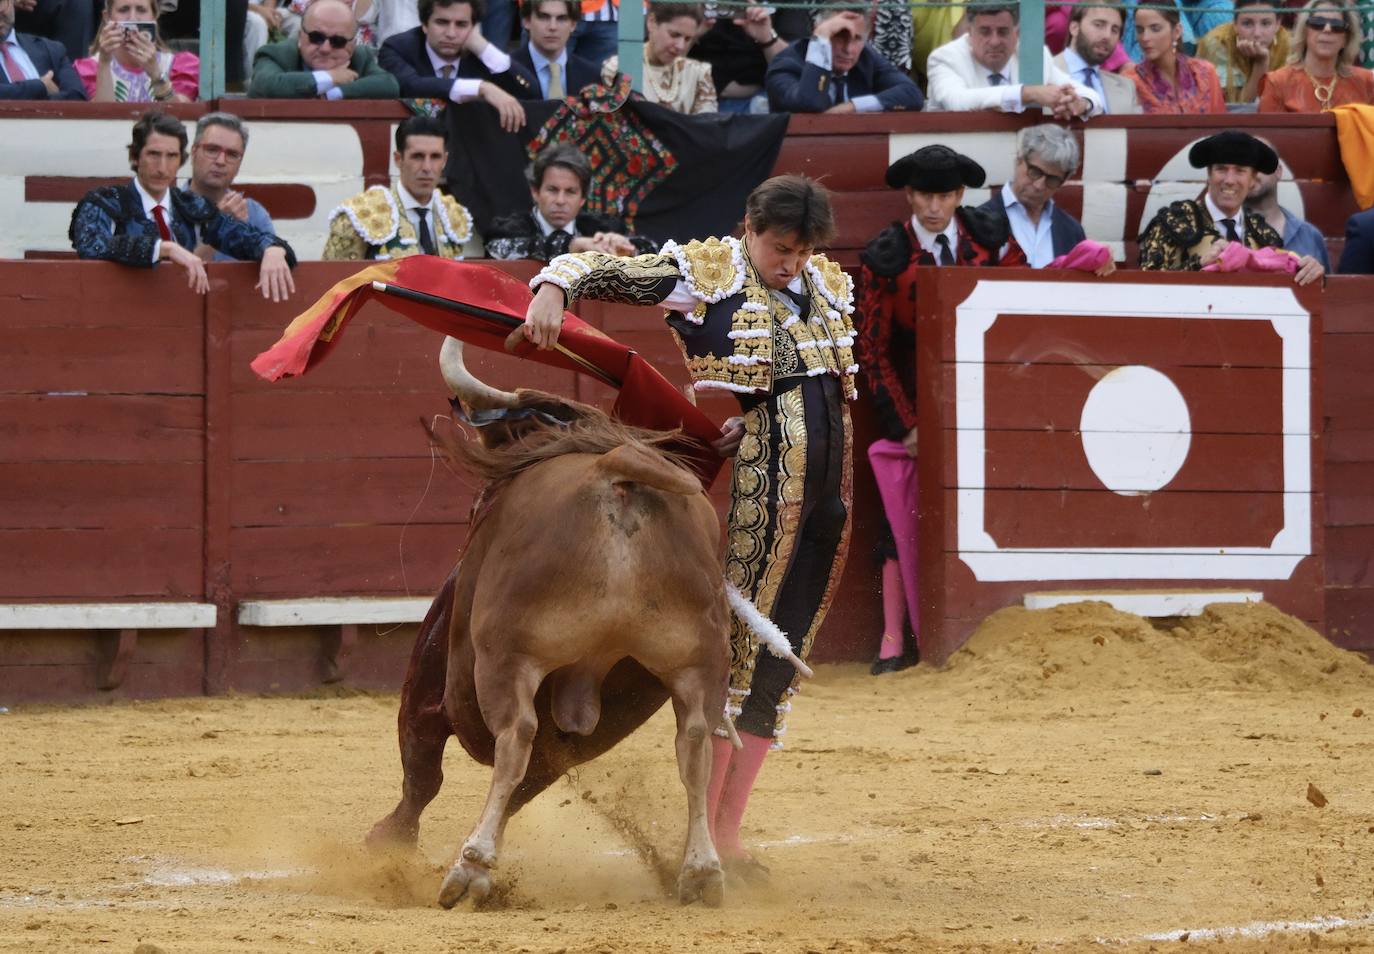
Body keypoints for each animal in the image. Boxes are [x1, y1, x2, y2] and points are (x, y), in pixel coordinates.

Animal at [362, 339, 730, 907]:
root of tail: (616, 469)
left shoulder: (433, 679)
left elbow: (423, 768)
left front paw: (389, 843)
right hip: (697, 659)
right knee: (693, 743)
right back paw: (701, 872)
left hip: (507, 658)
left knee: (515, 737)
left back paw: (470, 870)